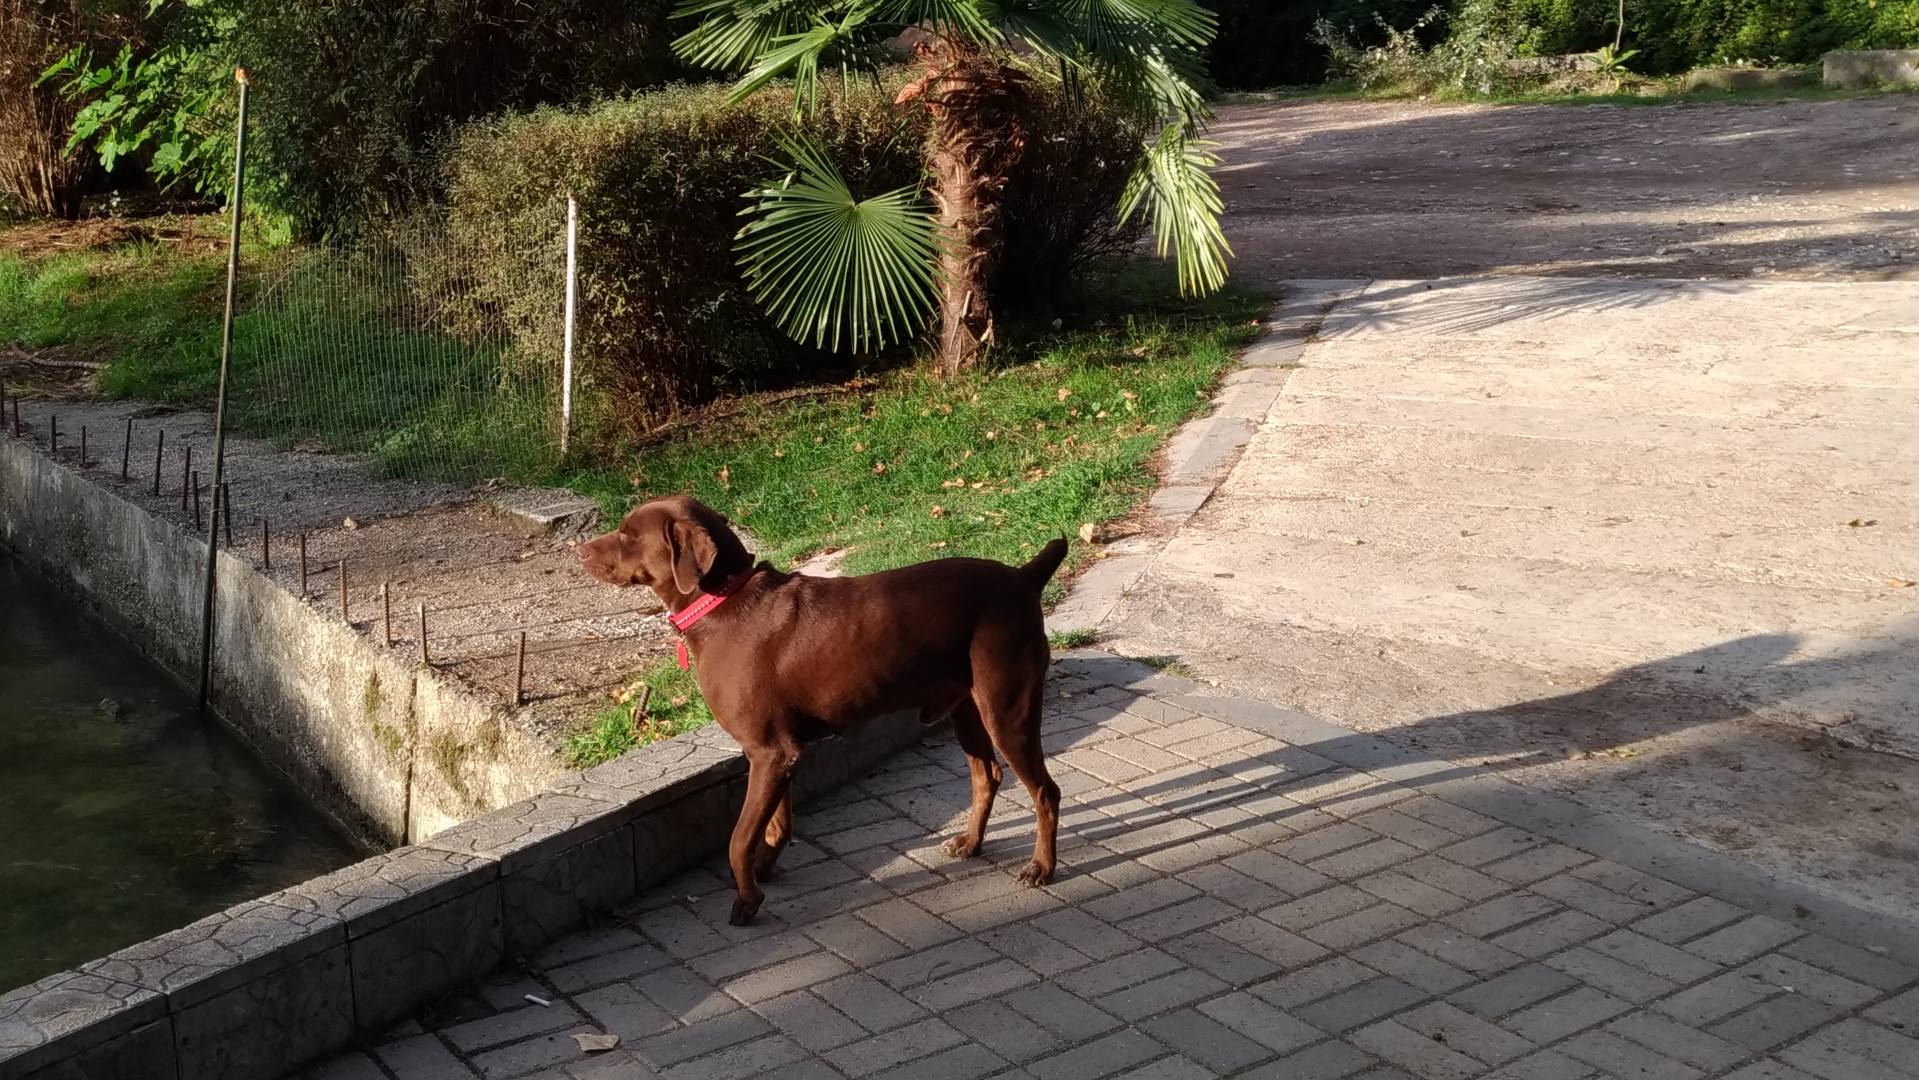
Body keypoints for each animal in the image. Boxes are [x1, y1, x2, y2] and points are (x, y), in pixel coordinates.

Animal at [577, 495, 1069, 925]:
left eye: (627, 534)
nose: (578, 550)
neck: (724, 601)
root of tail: (1023, 577)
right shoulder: (777, 755)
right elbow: (775, 826)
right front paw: (764, 873)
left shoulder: (769, 752)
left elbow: (738, 840)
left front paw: (747, 901)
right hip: (966, 709)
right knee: (988, 777)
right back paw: (970, 843)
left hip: (1007, 709)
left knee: (1046, 791)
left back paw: (1042, 867)